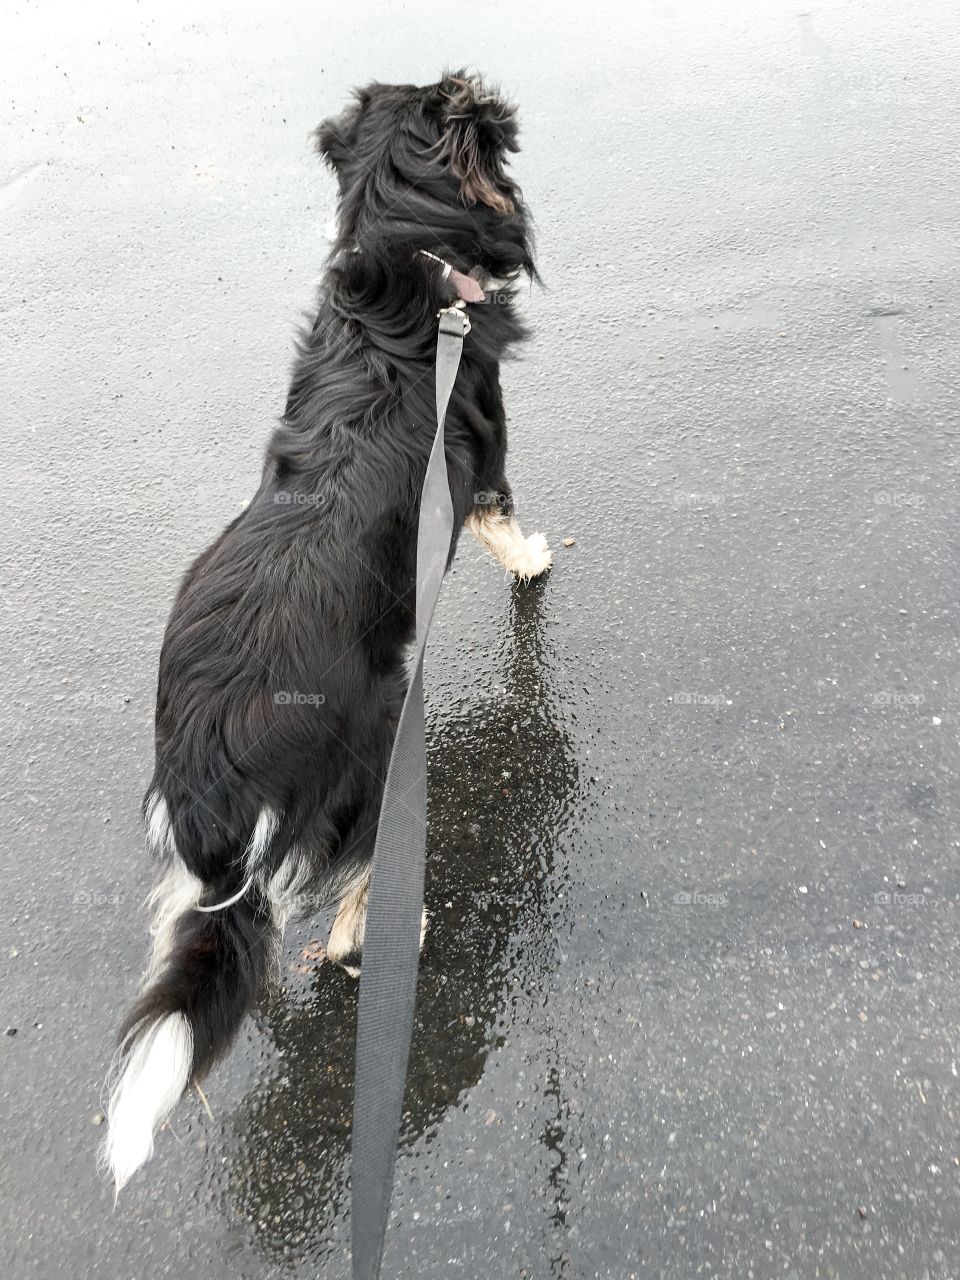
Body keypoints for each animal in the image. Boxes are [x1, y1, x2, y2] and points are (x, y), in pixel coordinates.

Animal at [101, 72, 552, 1187]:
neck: (404, 278)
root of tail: (216, 772)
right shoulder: (486, 459)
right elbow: (504, 524)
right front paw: (535, 562)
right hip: (376, 753)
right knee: (350, 911)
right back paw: (399, 925)